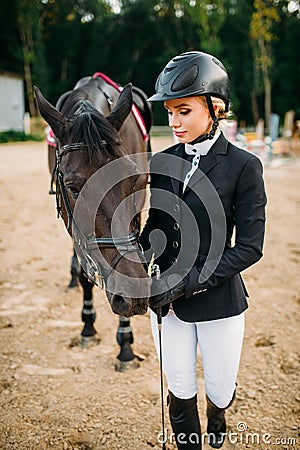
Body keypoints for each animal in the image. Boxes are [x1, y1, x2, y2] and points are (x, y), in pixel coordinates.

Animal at [34, 74, 150, 370]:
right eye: (74, 188)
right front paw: (88, 327)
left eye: (133, 179)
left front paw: (125, 346)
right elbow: (87, 270)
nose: (134, 293)